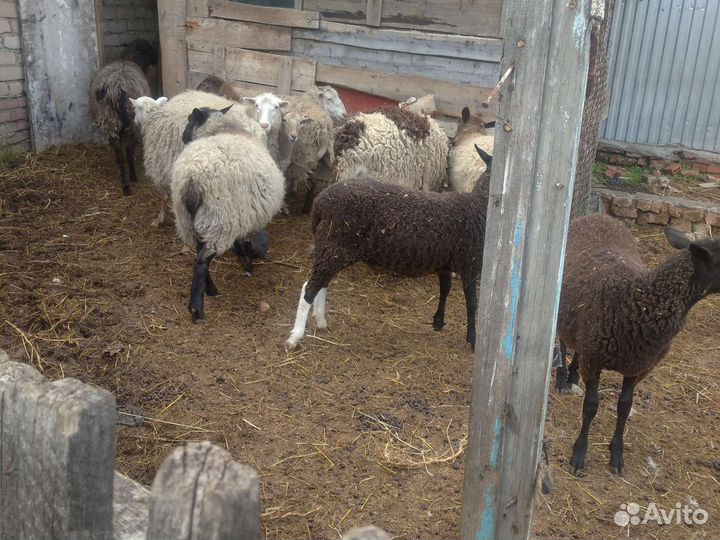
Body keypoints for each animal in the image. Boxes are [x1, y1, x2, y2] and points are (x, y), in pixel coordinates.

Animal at [89, 60, 151, 196]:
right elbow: (129, 149)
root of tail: (114, 88)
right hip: (131, 126)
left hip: (110, 124)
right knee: (127, 151)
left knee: (120, 155)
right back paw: (132, 178)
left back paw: (125, 185)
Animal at [130, 91, 266, 227]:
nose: (134, 122)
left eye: (135, 108)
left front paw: (159, 219)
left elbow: (164, 196)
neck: (153, 118)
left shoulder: (161, 168)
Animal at [171, 106, 285, 321]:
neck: (223, 129)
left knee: (198, 253)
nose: (182, 136)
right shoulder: (242, 217)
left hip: (189, 220)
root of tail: (193, 180)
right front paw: (247, 263)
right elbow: (243, 244)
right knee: (202, 260)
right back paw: (197, 308)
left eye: (190, 121)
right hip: (220, 219)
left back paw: (211, 290)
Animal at [285, 145, 492, 352]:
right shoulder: (471, 263)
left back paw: (321, 321)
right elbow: (472, 304)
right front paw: (473, 339)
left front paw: (438, 322)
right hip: (335, 247)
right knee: (309, 288)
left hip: (331, 249)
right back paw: (295, 337)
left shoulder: (446, 264)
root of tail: (320, 202)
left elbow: (445, 290)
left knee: (321, 283)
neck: (480, 204)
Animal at [556, 213, 720, 475]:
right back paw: (562, 379)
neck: (639, 302)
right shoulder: (594, 359)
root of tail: (597, 215)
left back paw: (572, 376)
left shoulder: (638, 365)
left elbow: (625, 406)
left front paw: (617, 456)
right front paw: (579, 454)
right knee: (562, 342)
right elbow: (591, 406)